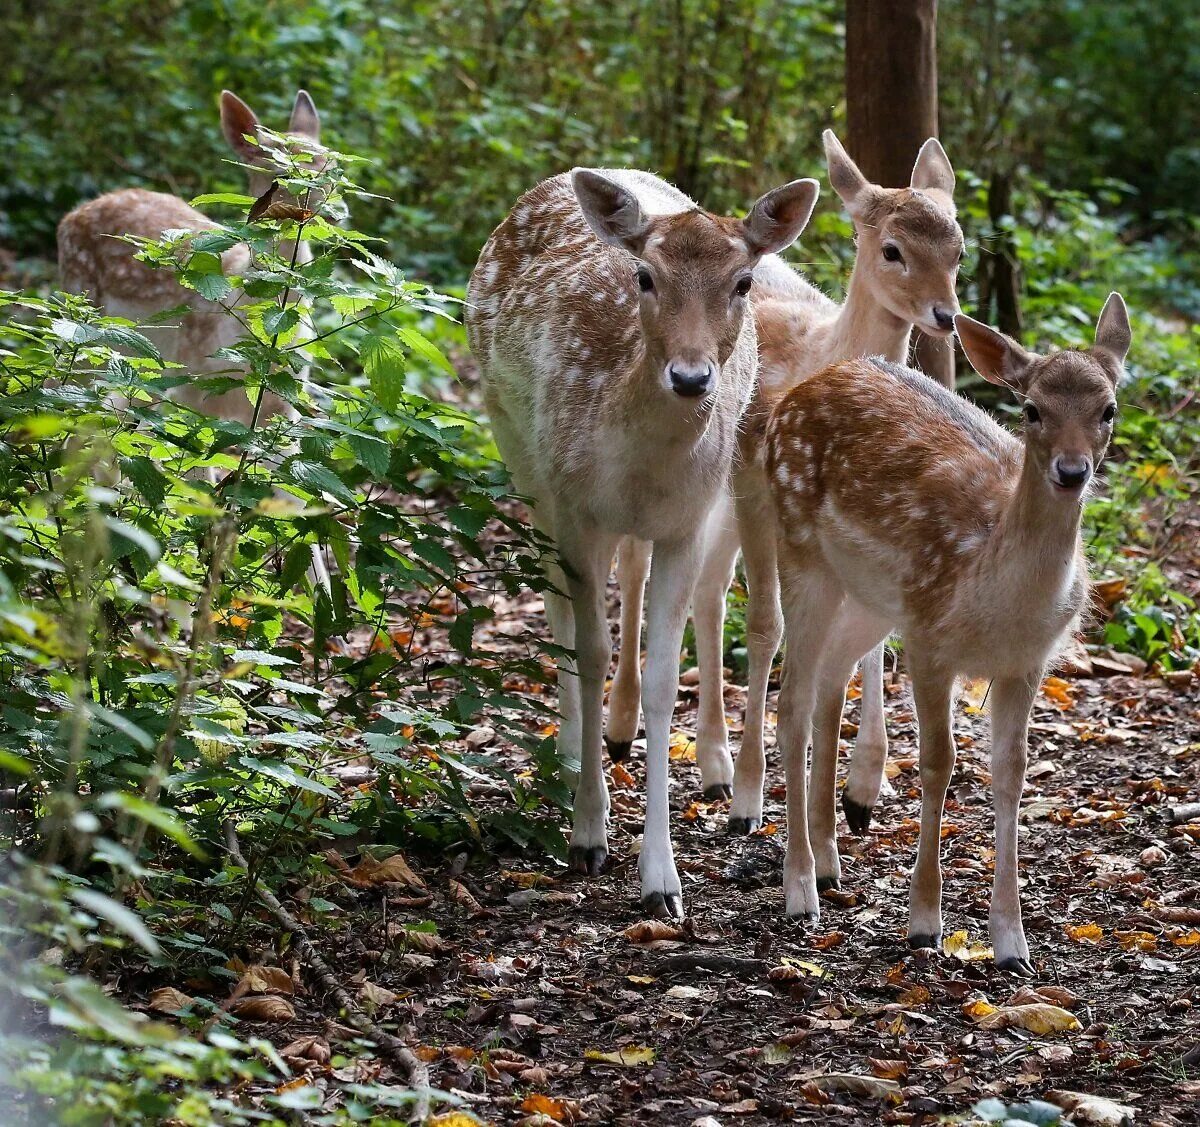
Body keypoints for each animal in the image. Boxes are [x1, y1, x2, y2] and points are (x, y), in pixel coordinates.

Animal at [463, 171, 820, 921]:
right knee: (555, 608)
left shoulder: (687, 520)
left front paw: (661, 877)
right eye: (645, 276)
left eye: (743, 280)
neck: (640, 468)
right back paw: (571, 757)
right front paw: (588, 835)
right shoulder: (575, 506)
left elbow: (663, 679)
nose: (690, 377)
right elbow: (589, 649)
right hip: (516, 447)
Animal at [609, 132, 964, 835]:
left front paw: (863, 789)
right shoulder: (753, 482)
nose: (947, 315)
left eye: (960, 248)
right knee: (639, 564)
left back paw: (712, 765)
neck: (814, 356)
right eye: (892, 249)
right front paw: (752, 799)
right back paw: (624, 730)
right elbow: (766, 624)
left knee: (708, 587)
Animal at [763, 292, 1128, 969]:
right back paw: (800, 886)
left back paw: (828, 859)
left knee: (830, 679)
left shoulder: (1026, 661)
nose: (1071, 471)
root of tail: (808, 386)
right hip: (800, 548)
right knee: (792, 700)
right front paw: (924, 924)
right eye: (1032, 409)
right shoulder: (931, 640)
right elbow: (939, 762)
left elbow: (1011, 770)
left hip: (877, 599)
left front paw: (1011, 942)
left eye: (1108, 409)